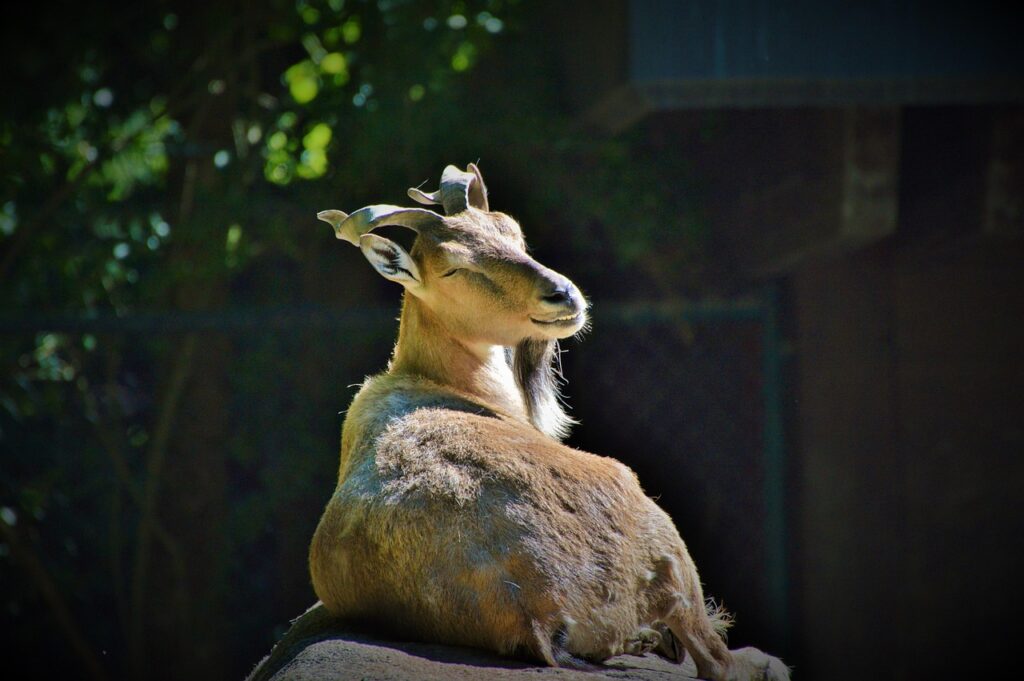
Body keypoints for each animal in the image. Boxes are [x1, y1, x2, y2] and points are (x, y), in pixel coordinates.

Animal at [309, 164, 789, 680]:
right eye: (454, 267)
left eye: (512, 232)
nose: (563, 295)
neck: (439, 381)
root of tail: (536, 611)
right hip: (656, 529)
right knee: (716, 659)